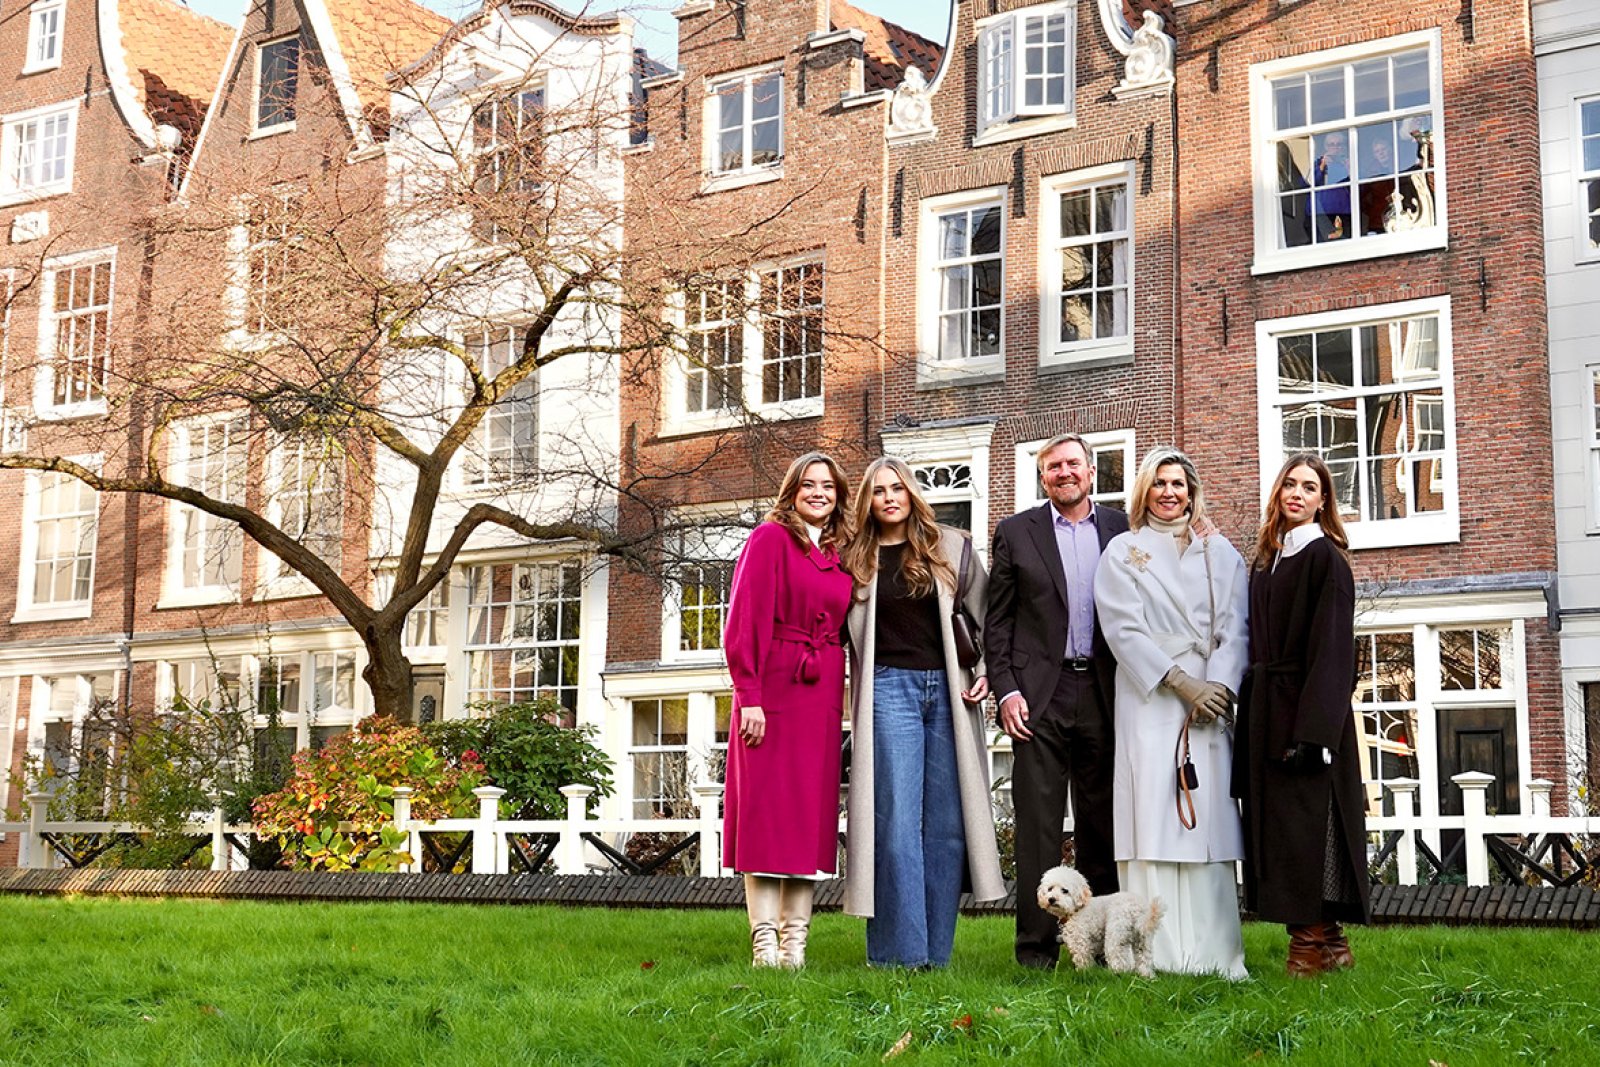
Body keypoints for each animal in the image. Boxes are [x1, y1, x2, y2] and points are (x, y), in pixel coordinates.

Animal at [1036, 863, 1164, 979]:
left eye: (1065, 890)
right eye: (1050, 889)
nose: (1051, 899)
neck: (1077, 910)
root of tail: (1137, 910)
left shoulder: (1080, 941)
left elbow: (1083, 959)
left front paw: (1082, 973)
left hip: (1115, 935)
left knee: (1119, 962)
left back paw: (1115, 975)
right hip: (1143, 940)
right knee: (1144, 960)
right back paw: (1147, 977)